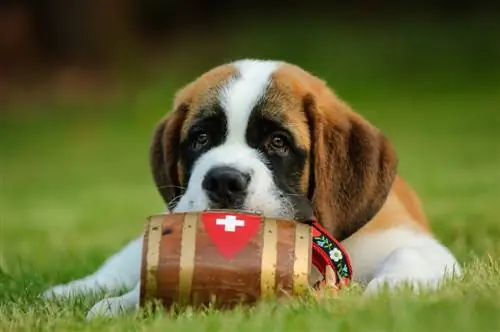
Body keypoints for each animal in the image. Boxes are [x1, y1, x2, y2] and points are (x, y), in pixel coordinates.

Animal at [43, 59, 460, 320]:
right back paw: (70, 290)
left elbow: (409, 255)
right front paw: (120, 305)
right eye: (201, 139)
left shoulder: (409, 239)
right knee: (121, 264)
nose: (223, 180)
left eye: (278, 142)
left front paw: (390, 289)